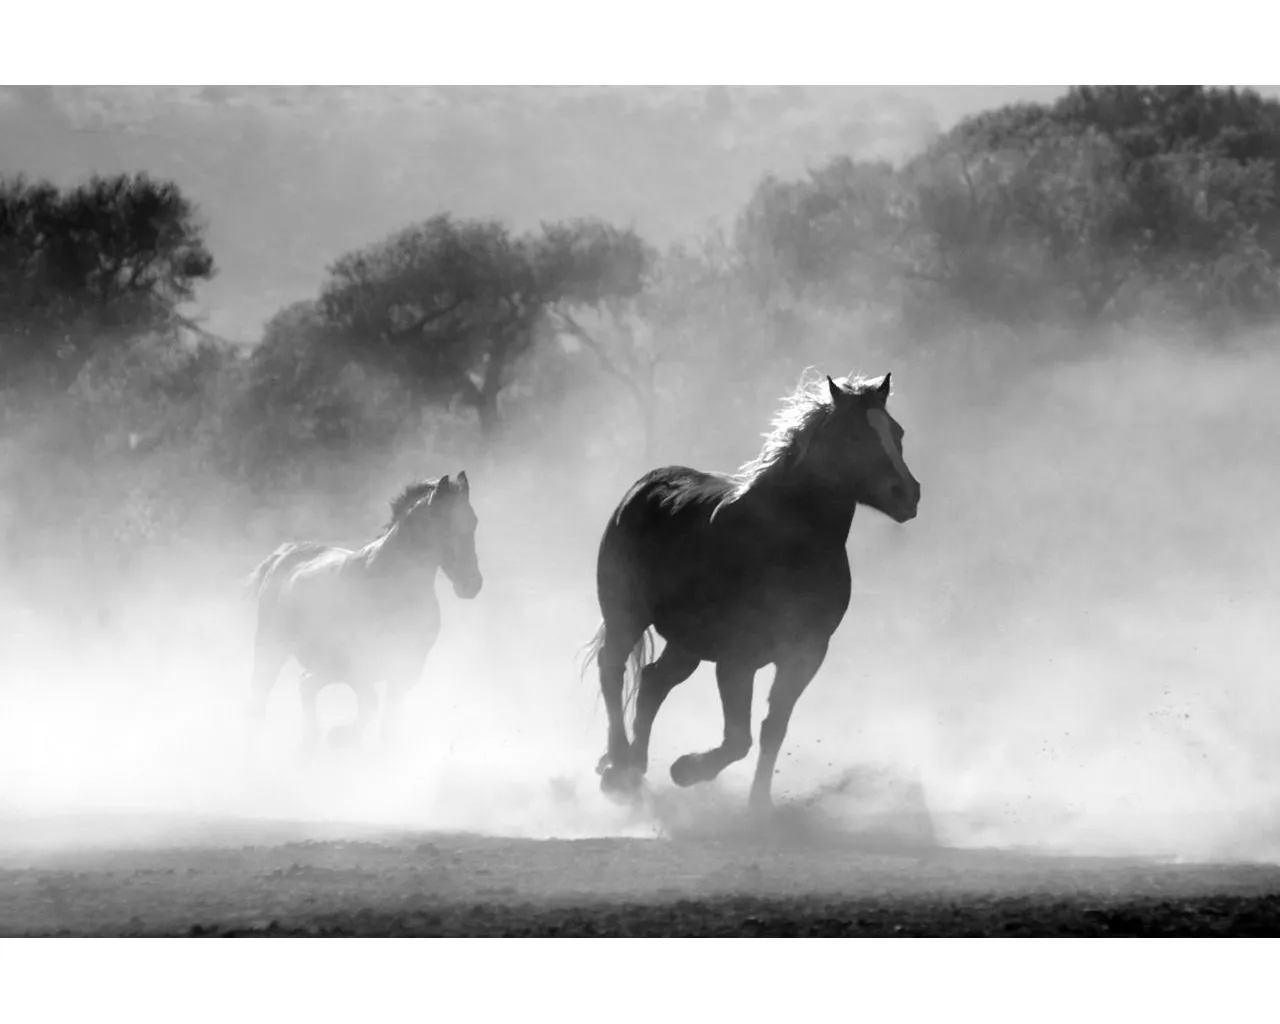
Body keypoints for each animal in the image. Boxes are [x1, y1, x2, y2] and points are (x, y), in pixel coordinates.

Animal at [245, 472, 482, 752]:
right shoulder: (358, 666)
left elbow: (388, 722)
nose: (472, 584)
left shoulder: (406, 668)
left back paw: (310, 741)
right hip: (271, 647)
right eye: (444, 524)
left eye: (473, 521)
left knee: (306, 684)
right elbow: (370, 705)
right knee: (262, 698)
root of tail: (283, 555)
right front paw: (341, 736)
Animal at [584, 371, 920, 812]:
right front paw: (687, 770)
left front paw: (759, 805)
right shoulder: (737, 659)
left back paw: (635, 768)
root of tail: (643, 487)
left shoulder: (805, 654)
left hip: (687, 643)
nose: (908, 494)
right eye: (852, 435)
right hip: (626, 616)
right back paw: (619, 767)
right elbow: (738, 739)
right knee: (612, 669)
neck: (787, 543)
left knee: (653, 681)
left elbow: (772, 729)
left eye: (897, 432)